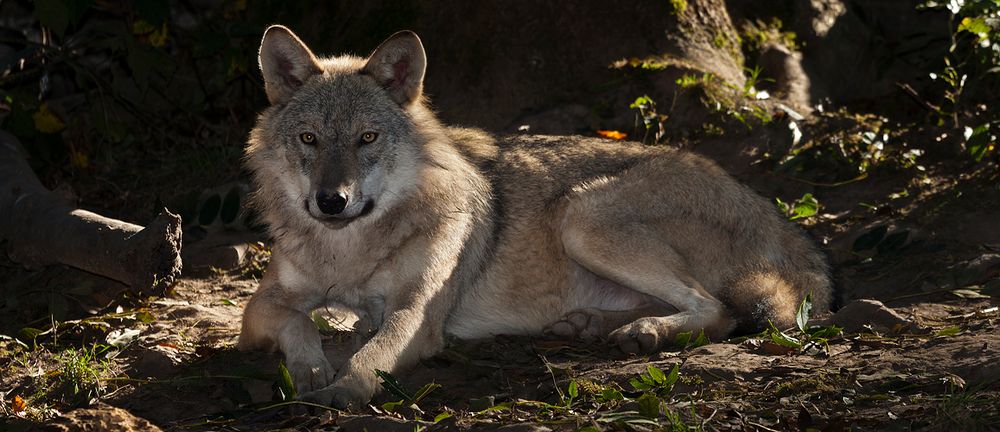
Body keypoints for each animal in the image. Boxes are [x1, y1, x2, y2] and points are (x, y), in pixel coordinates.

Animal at [238, 25, 832, 406]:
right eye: (309, 139)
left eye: (367, 138)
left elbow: (373, 351)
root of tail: (776, 218)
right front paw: (312, 369)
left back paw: (645, 332)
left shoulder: (415, 314)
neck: (349, 250)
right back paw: (598, 325)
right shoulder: (259, 307)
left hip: (581, 215)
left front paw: (341, 388)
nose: (331, 201)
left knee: (720, 310)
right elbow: (298, 321)